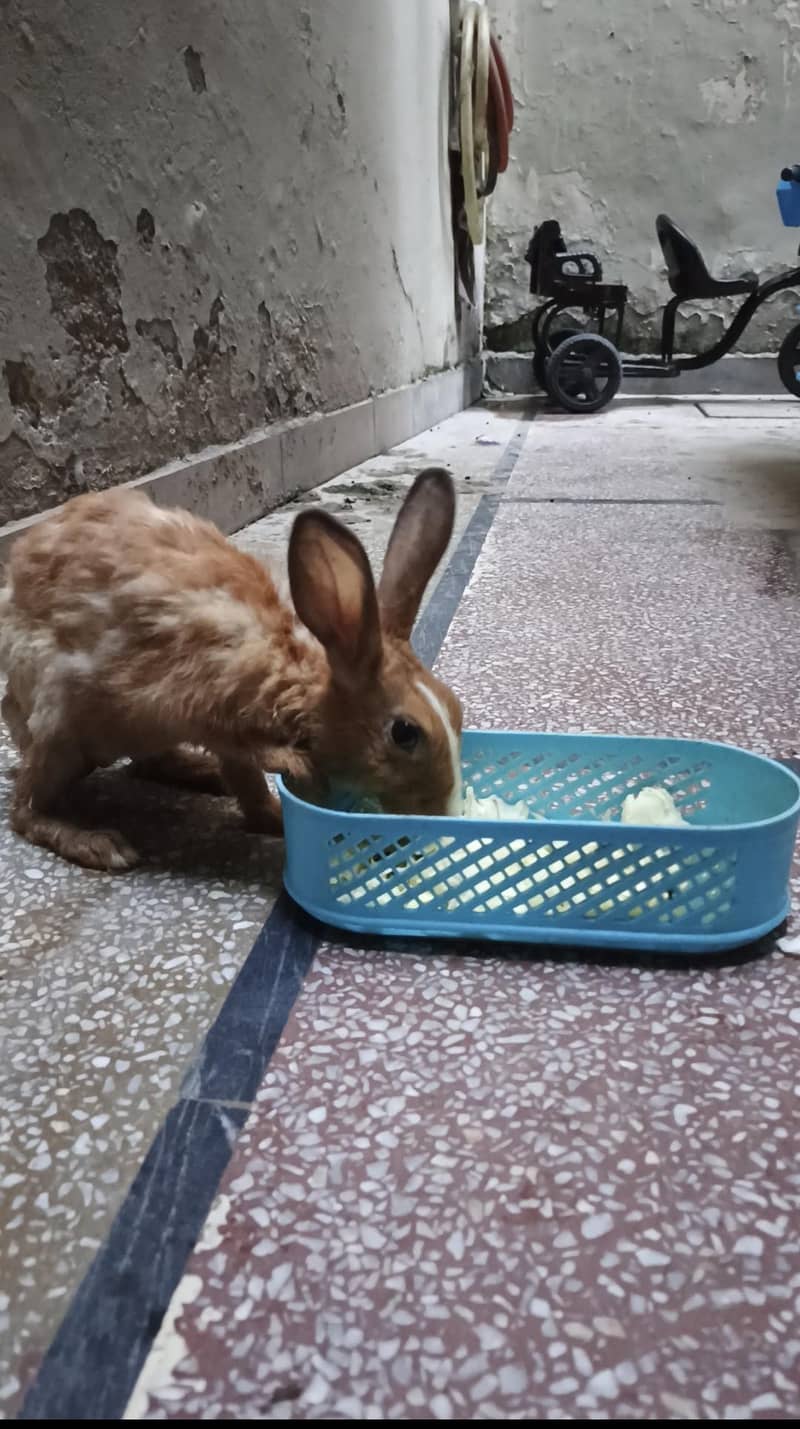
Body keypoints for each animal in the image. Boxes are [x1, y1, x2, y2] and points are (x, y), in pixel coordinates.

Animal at [0, 467, 463, 872]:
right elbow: (248, 750)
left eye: (456, 708)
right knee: (25, 808)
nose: (444, 813)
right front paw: (298, 769)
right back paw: (98, 844)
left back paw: (203, 775)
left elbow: (250, 789)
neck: (293, 675)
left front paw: (276, 818)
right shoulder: (196, 703)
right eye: (405, 733)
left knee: (145, 765)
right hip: (62, 725)